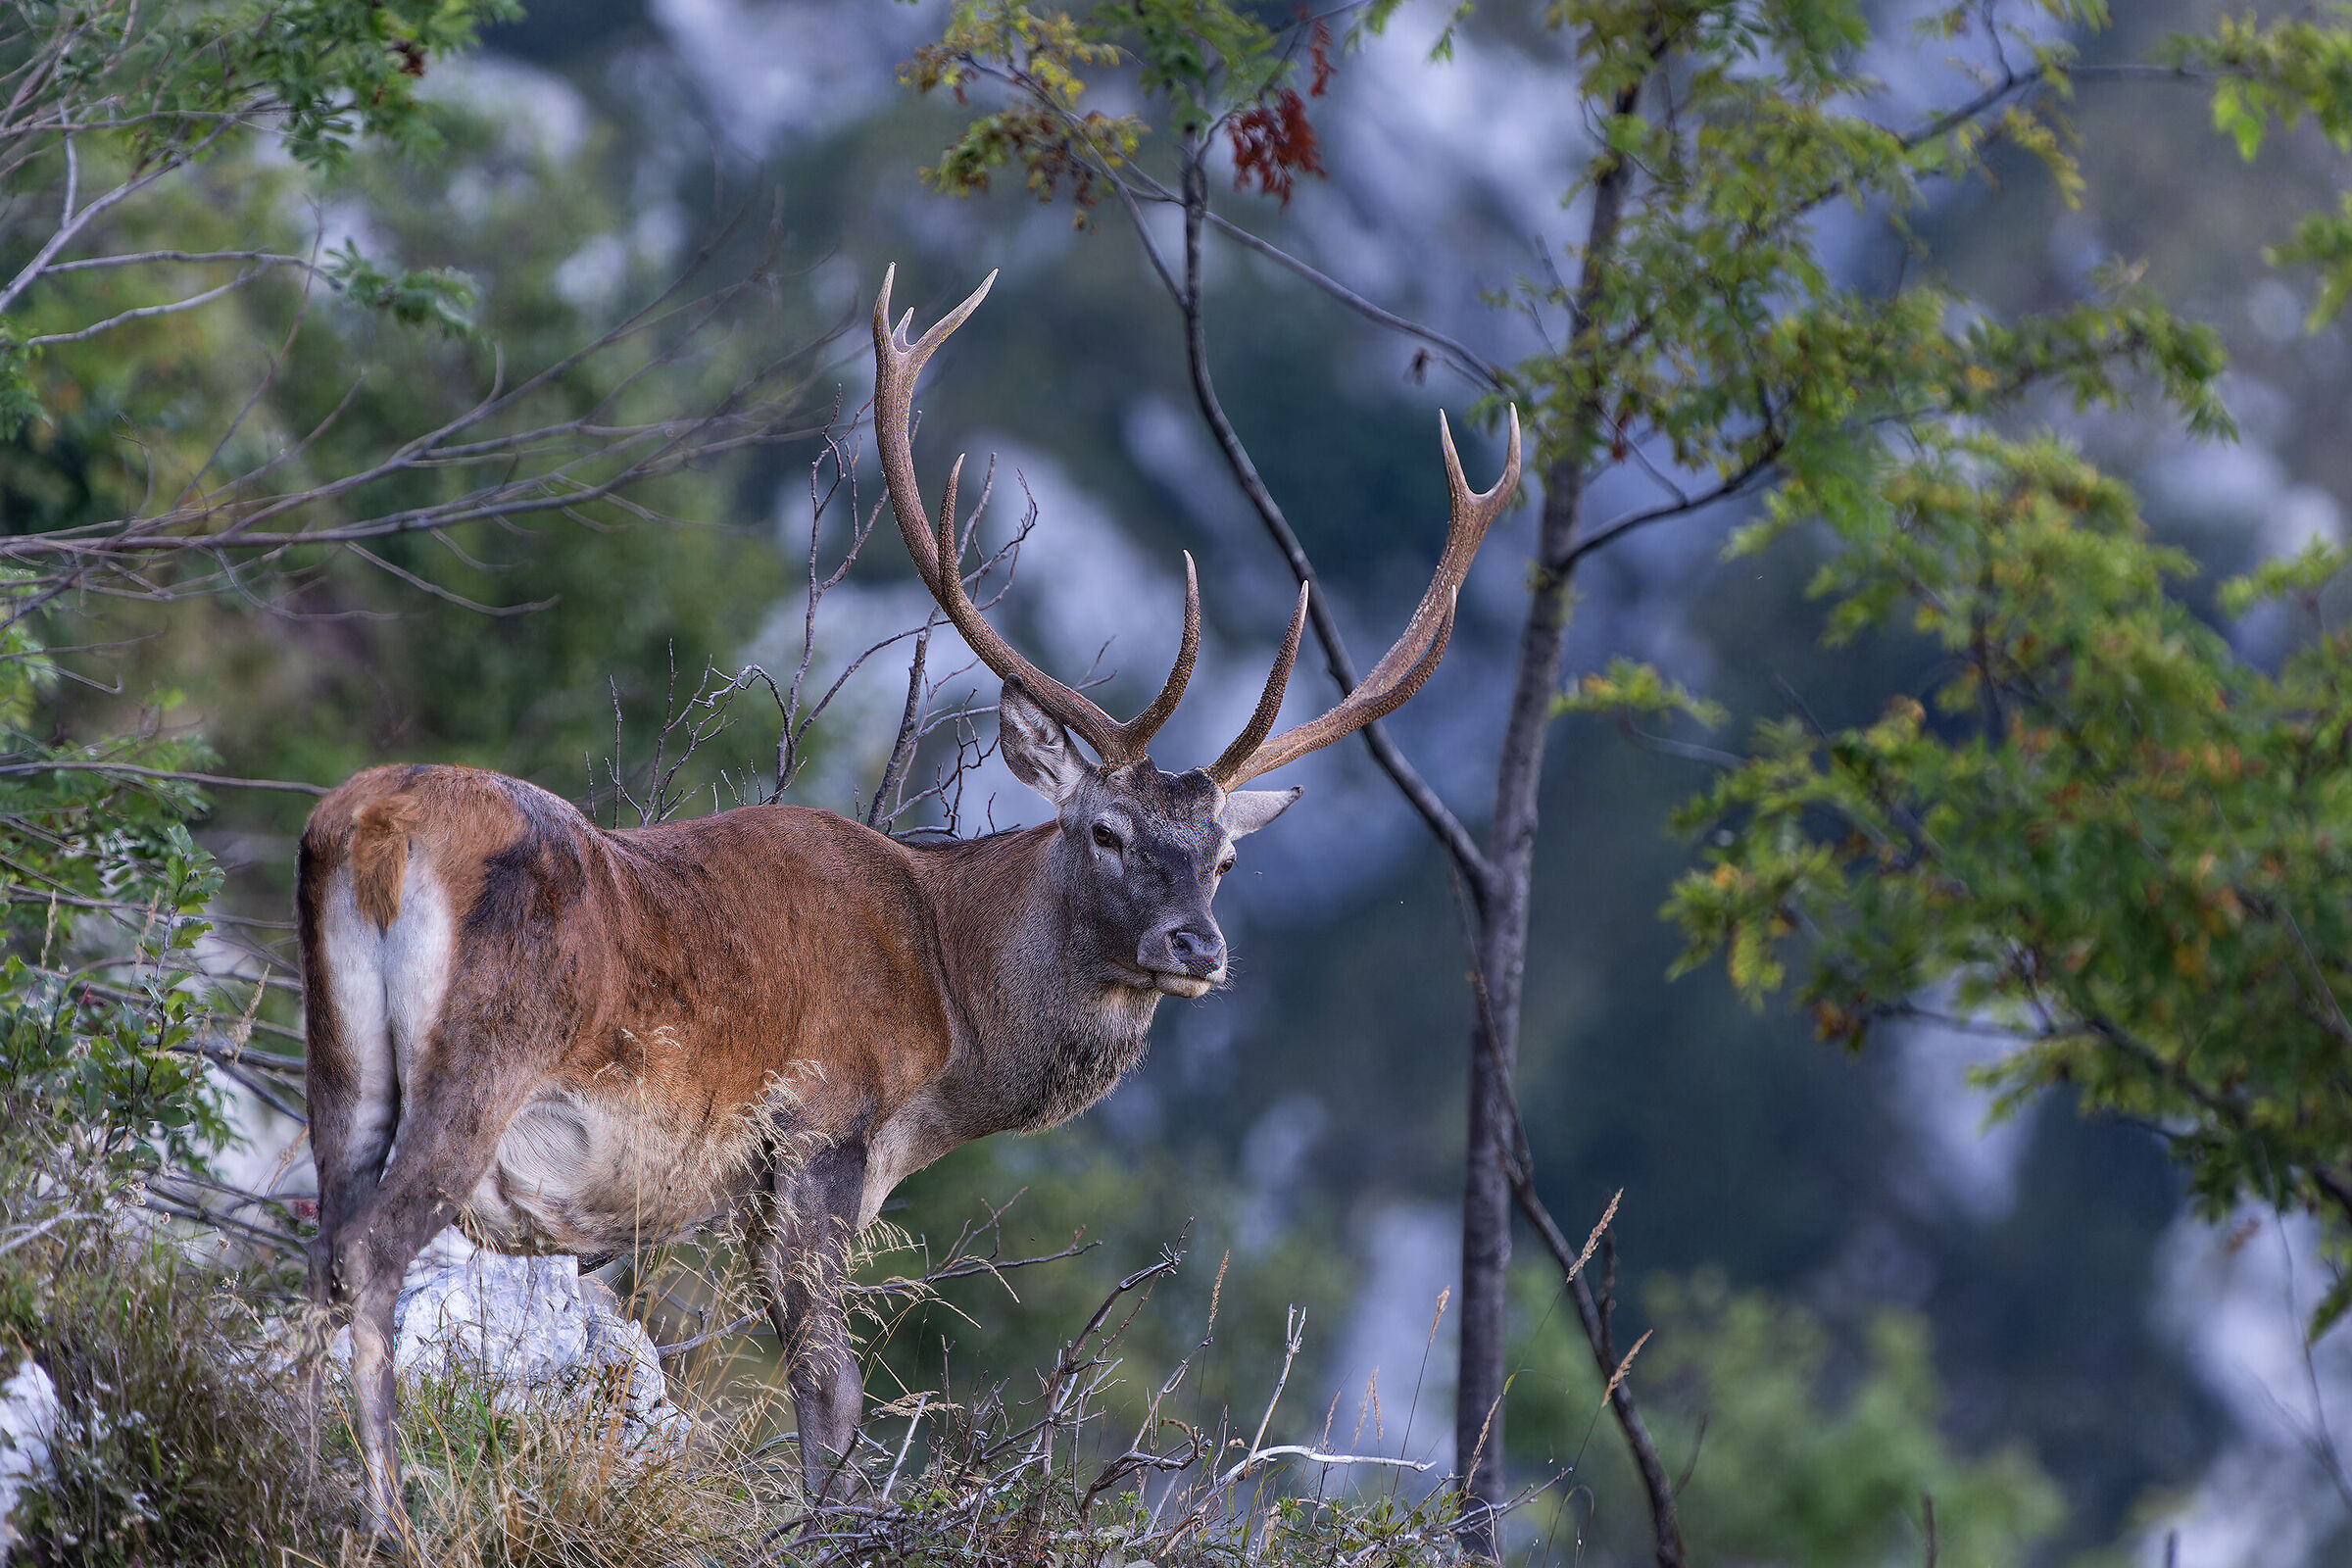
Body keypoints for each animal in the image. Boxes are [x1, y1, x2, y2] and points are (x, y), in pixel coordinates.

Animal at [296, 265, 1519, 1545]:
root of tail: (370, 834)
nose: (1197, 946)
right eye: (1106, 831)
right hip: (483, 1060)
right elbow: (830, 1399)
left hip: (340, 1055)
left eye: (1227, 858)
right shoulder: (818, 1131)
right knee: (374, 1252)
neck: (949, 1013)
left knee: (324, 1246)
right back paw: (387, 1520)